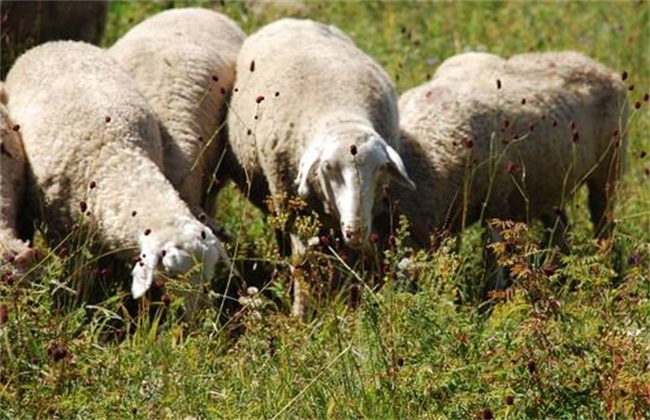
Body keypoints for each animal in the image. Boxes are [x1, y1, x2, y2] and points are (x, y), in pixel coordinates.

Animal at [4, 41, 233, 306]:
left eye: (210, 272)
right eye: (172, 272)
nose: (196, 313)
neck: (118, 161)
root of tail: (56, 43)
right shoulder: (63, 233)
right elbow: (81, 276)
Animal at [225, 17, 412, 256]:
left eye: (380, 168)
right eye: (327, 167)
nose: (355, 231)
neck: (341, 115)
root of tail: (291, 20)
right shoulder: (290, 205)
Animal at [388, 50, 624, 253]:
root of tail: (588, 60)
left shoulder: (496, 203)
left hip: (609, 168)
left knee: (603, 218)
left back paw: (605, 257)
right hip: (548, 182)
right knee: (560, 228)